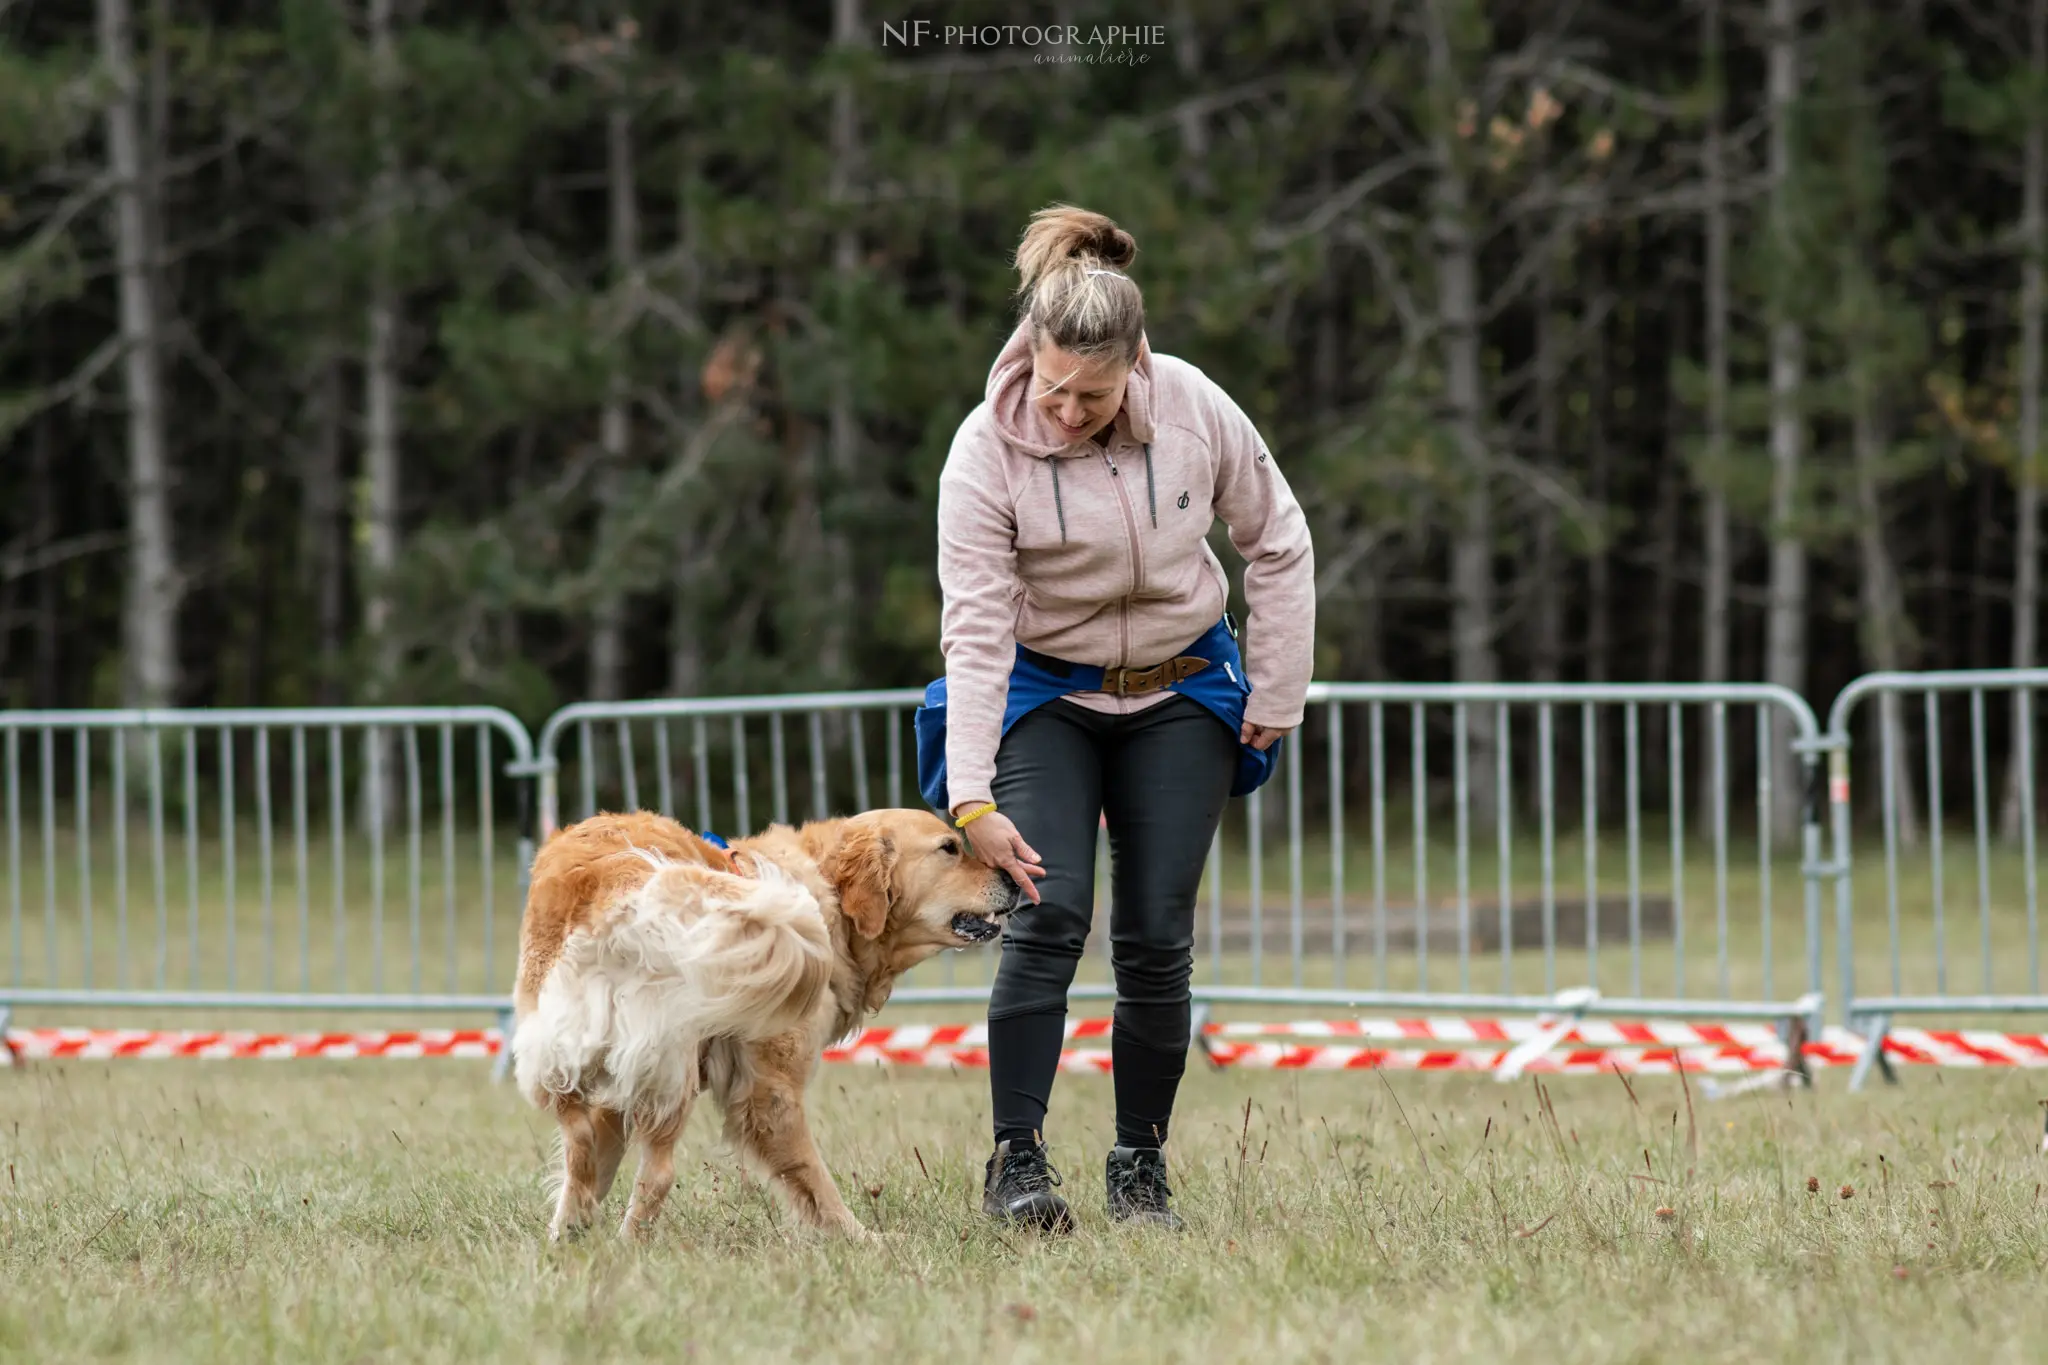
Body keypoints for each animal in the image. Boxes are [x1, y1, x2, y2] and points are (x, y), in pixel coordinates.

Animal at [512, 806, 1024, 1244]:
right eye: (949, 848)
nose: (1013, 876)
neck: (828, 895)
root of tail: (617, 877)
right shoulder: (769, 1090)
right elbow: (815, 1180)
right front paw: (864, 1241)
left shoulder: (617, 1081)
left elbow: (597, 1161)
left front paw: (570, 1233)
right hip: (670, 1066)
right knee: (657, 1175)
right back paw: (628, 1245)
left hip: (568, 1047)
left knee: (579, 1143)